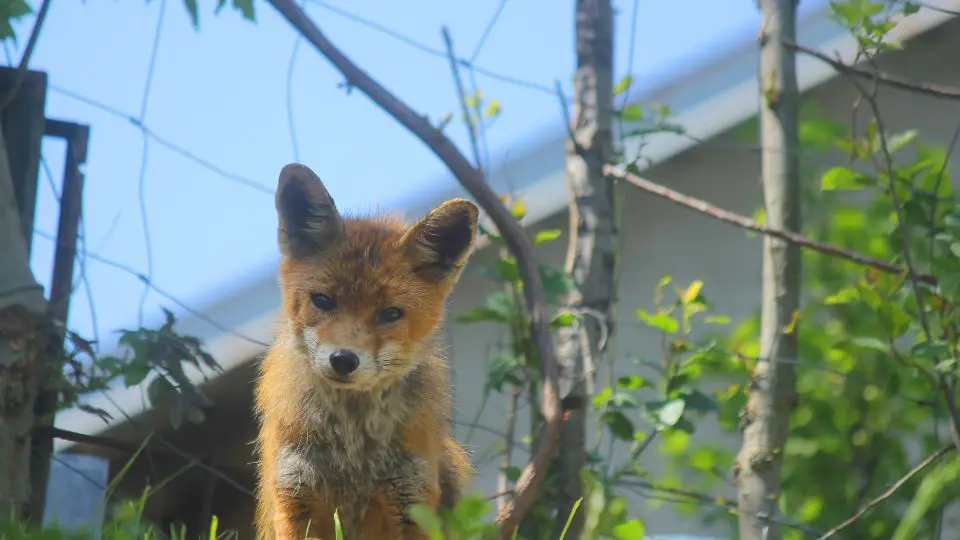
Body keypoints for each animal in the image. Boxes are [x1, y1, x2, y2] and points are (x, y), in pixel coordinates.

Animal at [255, 162, 476, 536]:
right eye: (323, 300)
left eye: (390, 314)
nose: (343, 360)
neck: (353, 450)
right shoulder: (295, 497)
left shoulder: (411, 500)